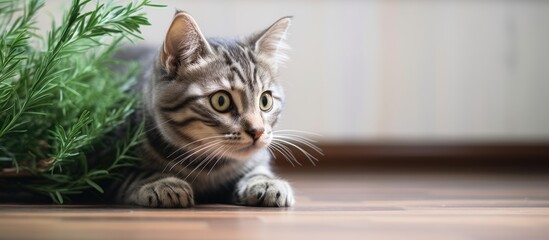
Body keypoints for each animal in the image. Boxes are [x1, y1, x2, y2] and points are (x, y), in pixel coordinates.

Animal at [113, 12, 298, 208]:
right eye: (221, 101)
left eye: (265, 101)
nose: (257, 131)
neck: (207, 168)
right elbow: (134, 174)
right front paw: (162, 183)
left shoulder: (257, 158)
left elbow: (258, 168)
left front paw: (266, 181)